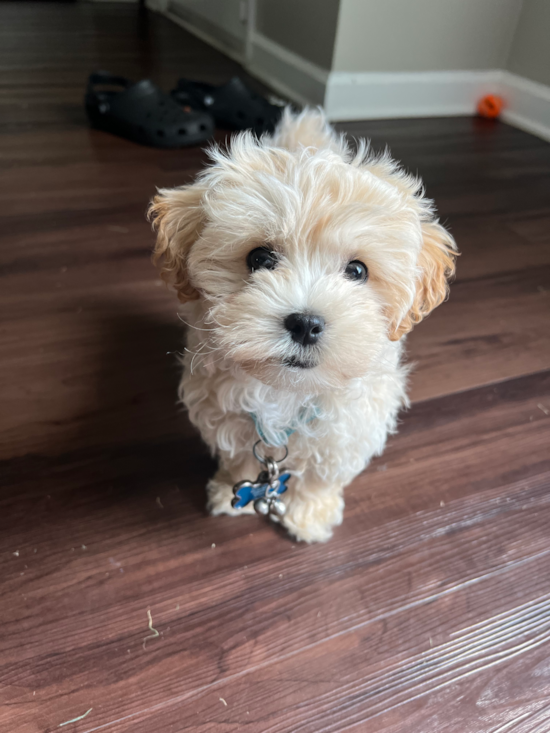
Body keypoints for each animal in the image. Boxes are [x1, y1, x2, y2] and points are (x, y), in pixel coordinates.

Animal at [150, 110, 458, 544]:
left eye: (357, 271)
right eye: (260, 258)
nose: (306, 324)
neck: (287, 391)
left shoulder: (348, 427)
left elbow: (320, 477)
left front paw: (309, 515)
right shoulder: (224, 413)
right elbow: (239, 459)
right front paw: (230, 491)